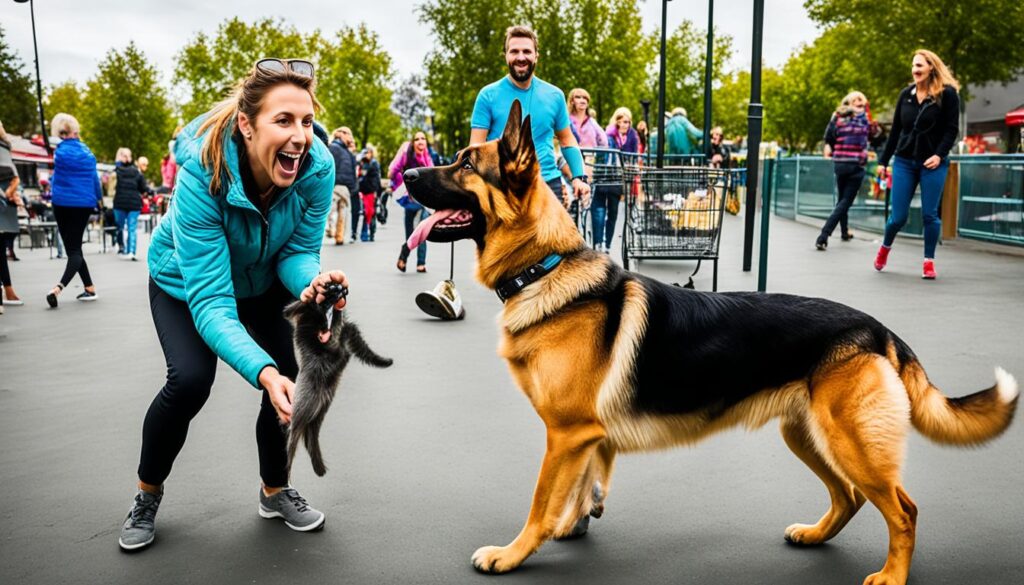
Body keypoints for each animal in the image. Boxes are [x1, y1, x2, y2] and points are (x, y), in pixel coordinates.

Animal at [280, 284, 391, 475]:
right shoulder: (305, 322)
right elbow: (297, 309)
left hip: (319, 408)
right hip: (306, 405)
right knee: (295, 435)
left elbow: (344, 329)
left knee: (308, 435)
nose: (340, 291)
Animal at [401, 101, 1015, 585]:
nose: (404, 176)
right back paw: (815, 535)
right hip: (809, 435)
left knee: (902, 510)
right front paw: (572, 524)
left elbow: (540, 502)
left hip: (851, 442)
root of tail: (880, 329)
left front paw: (513, 554)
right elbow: (582, 487)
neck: (545, 266)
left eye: (464, 163)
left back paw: (891, 575)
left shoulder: (566, 435)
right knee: (850, 497)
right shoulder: (586, 438)